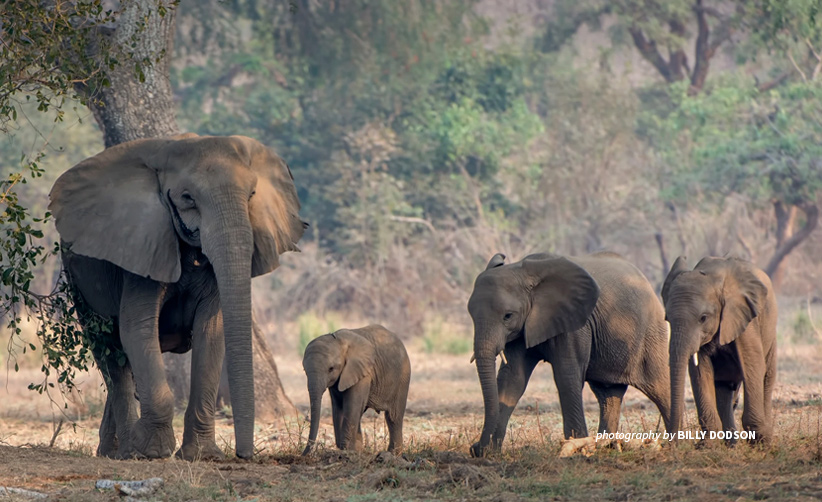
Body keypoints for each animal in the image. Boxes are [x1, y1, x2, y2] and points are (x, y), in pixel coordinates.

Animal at [49, 132, 306, 458]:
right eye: (187, 198)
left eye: (251, 195)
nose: (243, 454)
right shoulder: (142, 244)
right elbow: (137, 329)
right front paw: (153, 451)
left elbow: (211, 332)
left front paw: (201, 455)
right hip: (77, 277)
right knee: (110, 352)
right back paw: (125, 451)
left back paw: (115, 449)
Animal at [302, 326, 412, 454]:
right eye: (304, 371)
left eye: (331, 369)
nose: (304, 454)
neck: (338, 340)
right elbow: (338, 406)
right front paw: (349, 450)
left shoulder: (363, 373)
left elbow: (351, 405)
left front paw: (346, 450)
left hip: (403, 376)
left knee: (393, 417)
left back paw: (393, 454)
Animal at [466, 253, 672, 456]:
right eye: (471, 315)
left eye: (508, 316)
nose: (474, 448)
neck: (525, 273)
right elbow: (512, 379)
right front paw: (490, 454)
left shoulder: (575, 324)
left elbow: (566, 375)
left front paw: (576, 449)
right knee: (608, 394)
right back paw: (609, 447)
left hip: (652, 334)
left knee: (660, 388)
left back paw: (673, 445)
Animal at [664, 255, 780, 444]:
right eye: (667, 319)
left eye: (703, 318)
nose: (671, 444)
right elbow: (699, 372)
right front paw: (707, 446)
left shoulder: (744, 318)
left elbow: (752, 365)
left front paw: (760, 442)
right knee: (724, 388)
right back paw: (730, 444)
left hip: (770, 334)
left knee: (766, 377)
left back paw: (765, 439)